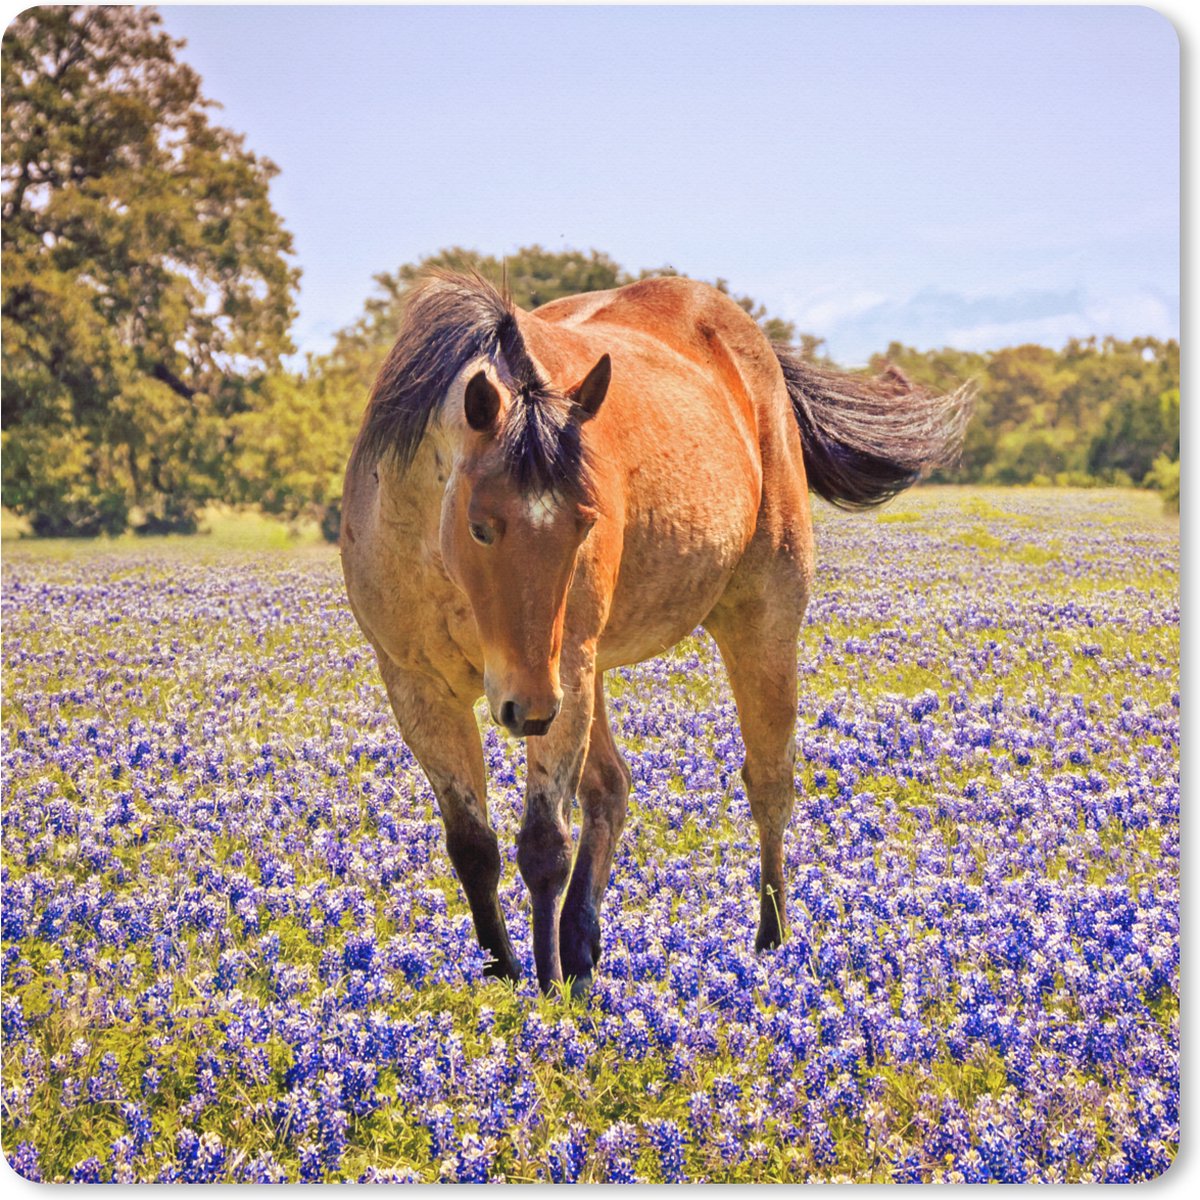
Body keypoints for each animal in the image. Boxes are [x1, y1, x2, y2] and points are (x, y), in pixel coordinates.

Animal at [340, 270, 971, 994]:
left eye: (586, 521)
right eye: (480, 525)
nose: (526, 708)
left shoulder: (560, 667)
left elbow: (543, 845)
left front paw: (545, 996)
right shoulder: (416, 683)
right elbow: (473, 847)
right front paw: (503, 973)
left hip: (756, 613)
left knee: (770, 782)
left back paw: (770, 943)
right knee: (611, 787)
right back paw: (583, 947)